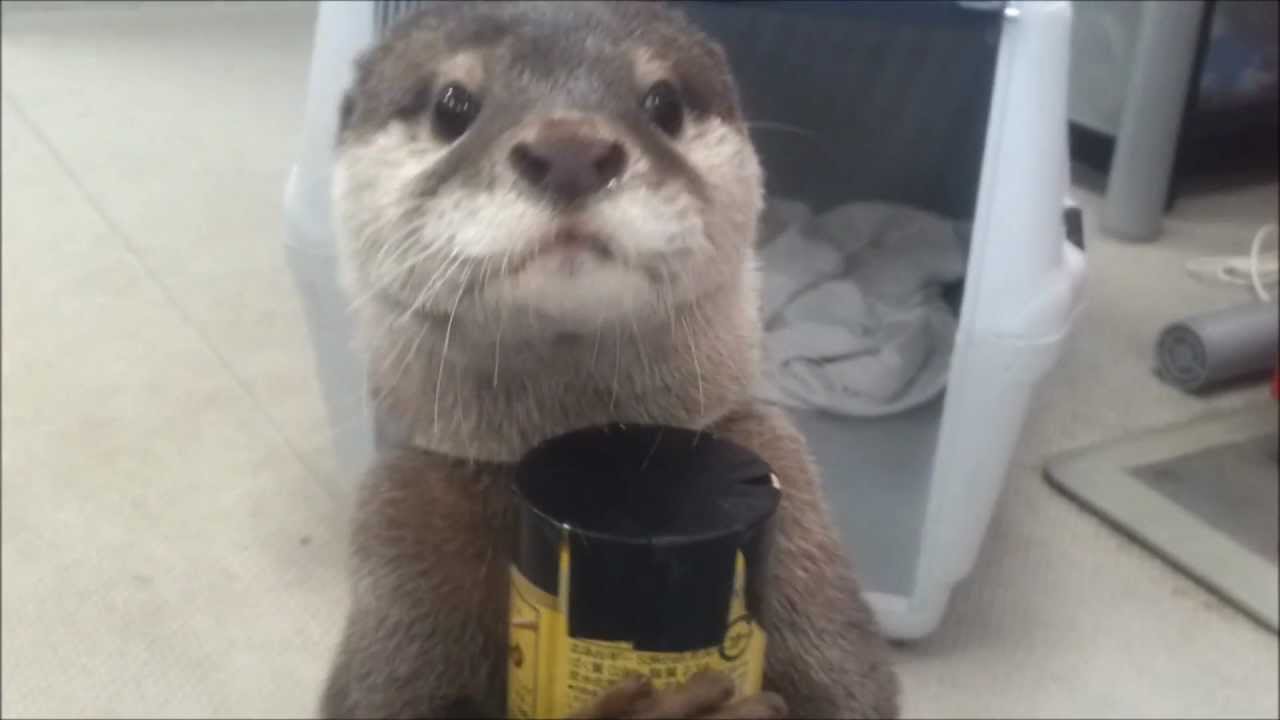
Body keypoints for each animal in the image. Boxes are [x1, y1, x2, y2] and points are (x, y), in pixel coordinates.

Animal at [320, 2, 900, 718]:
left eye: (664, 102)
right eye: (453, 104)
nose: (570, 150)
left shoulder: (803, 528)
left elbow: (853, 695)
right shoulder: (394, 542)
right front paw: (651, 704)